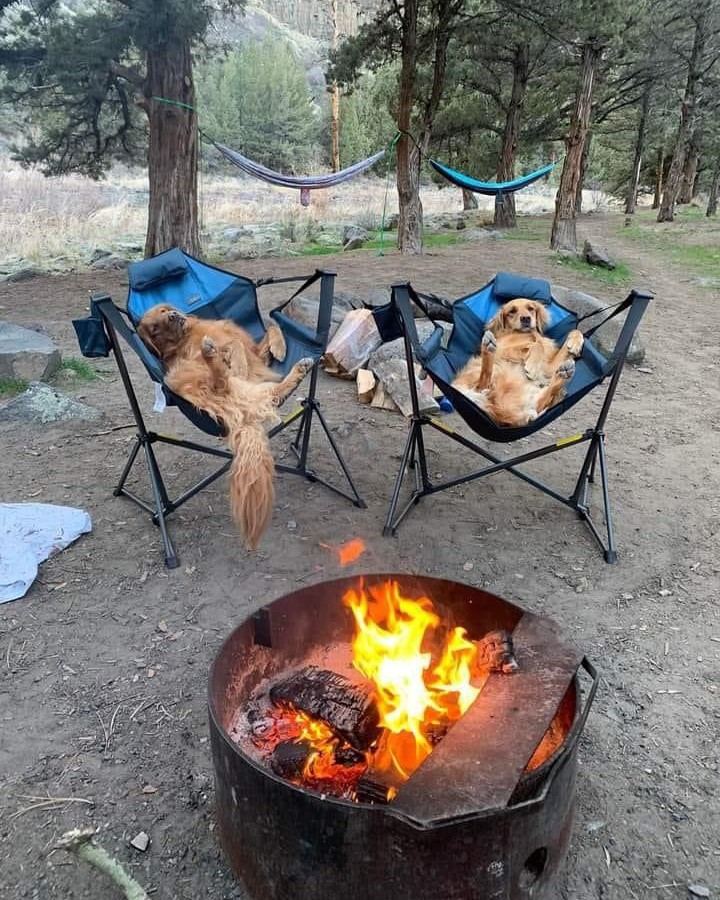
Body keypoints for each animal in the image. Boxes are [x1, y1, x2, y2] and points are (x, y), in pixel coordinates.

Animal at [138, 304, 312, 548]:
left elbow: (272, 328)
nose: (173, 316)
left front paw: (278, 348)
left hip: (246, 391)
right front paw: (237, 364)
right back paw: (212, 356)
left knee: (268, 393)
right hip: (189, 377)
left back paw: (300, 367)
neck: (189, 334)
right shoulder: (231, 352)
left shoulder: (256, 353)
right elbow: (235, 345)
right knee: (220, 382)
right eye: (154, 328)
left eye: (163, 310)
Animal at [452, 298, 584, 428]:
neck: (527, 333)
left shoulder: (548, 369)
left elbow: (575, 331)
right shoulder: (502, 349)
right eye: (512, 311)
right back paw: (488, 347)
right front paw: (532, 367)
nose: (525, 318)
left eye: (530, 308)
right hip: (494, 369)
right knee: (481, 384)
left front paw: (575, 344)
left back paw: (564, 374)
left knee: (540, 402)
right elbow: (537, 345)